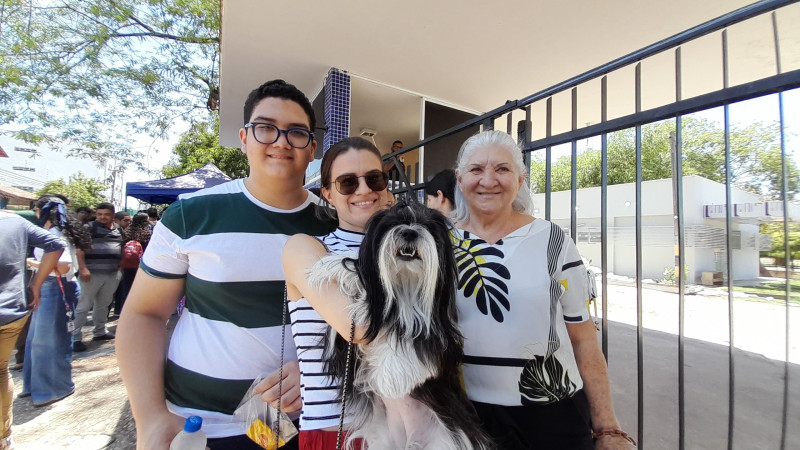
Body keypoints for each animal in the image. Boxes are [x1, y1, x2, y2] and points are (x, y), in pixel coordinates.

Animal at [308, 200, 490, 450]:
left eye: (426, 225)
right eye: (392, 223)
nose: (409, 232)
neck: (404, 286)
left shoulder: (438, 330)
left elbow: (410, 333)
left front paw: (393, 374)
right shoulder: (346, 342)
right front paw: (338, 265)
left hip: (446, 441)